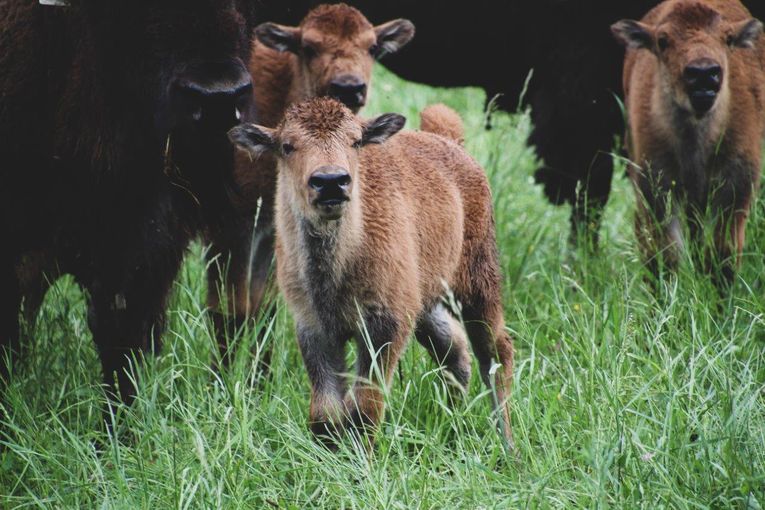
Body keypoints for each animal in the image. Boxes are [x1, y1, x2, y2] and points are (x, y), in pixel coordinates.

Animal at [227, 99, 512, 450]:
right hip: (427, 303)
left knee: (495, 353)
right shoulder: (314, 328)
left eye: (355, 141)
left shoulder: (384, 327)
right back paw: (452, 420)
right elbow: (325, 411)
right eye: (287, 146)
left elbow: (364, 407)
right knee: (454, 347)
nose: (331, 181)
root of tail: (449, 142)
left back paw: (508, 444)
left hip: (477, 285)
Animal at [612, 0, 764, 282]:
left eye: (727, 38)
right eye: (662, 40)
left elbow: (722, 254)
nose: (704, 73)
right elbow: (665, 254)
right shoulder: (656, 187)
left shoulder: (736, 187)